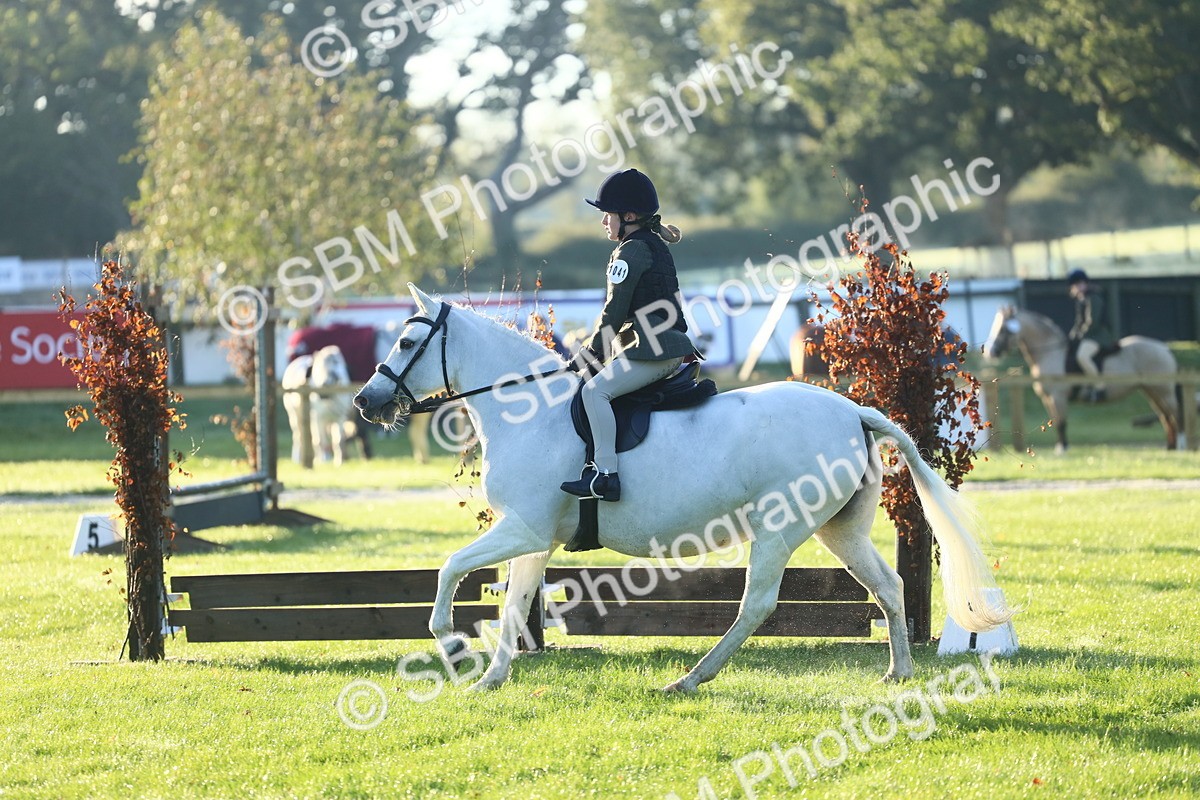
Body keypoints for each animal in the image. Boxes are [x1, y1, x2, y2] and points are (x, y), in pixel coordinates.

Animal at [354, 285, 1013, 694]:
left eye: (407, 343)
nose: (366, 401)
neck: (527, 407)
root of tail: (853, 411)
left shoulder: (523, 528)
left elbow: (449, 568)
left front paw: (451, 646)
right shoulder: (534, 538)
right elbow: (515, 604)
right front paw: (492, 678)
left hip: (779, 529)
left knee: (757, 605)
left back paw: (691, 678)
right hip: (838, 530)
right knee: (889, 586)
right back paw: (899, 672)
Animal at [982, 306, 1181, 452]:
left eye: (1004, 329)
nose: (991, 352)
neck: (1051, 353)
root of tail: (1163, 348)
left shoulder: (1058, 396)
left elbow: (1061, 422)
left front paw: (1063, 449)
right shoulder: (1048, 398)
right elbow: (1056, 421)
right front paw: (1060, 447)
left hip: (1164, 390)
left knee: (1174, 415)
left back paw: (1180, 445)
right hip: (1152, 391)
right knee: (1165, 416)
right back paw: (1170, 447)